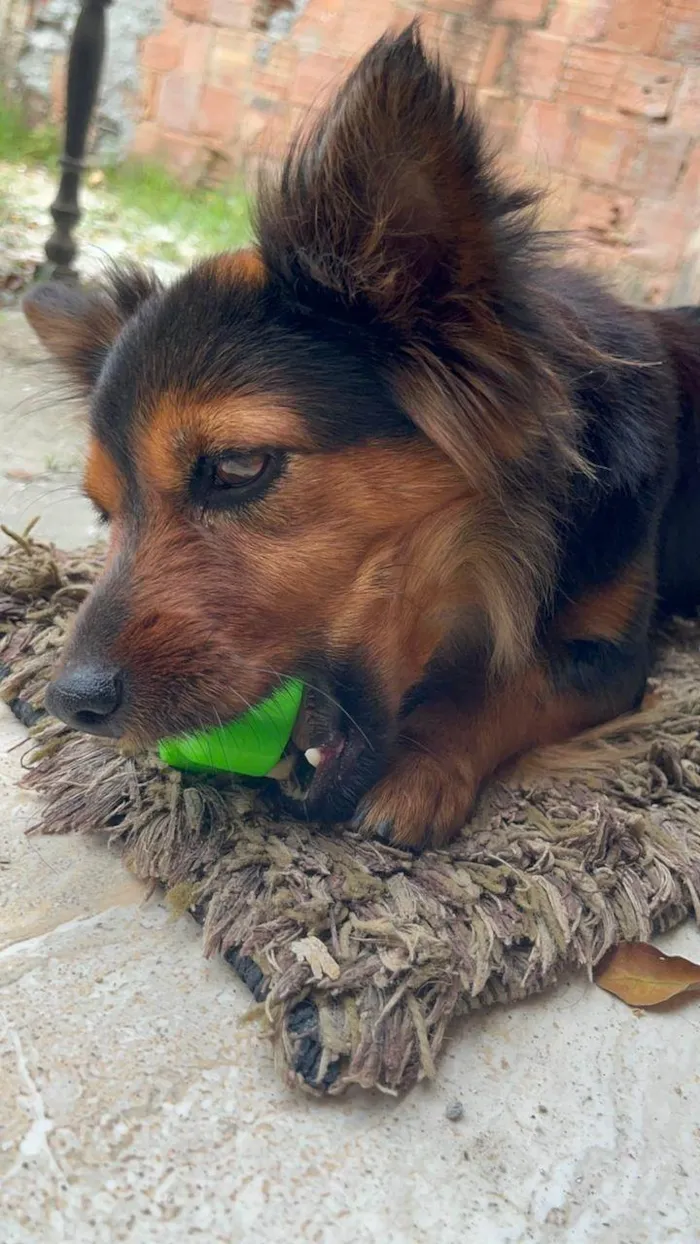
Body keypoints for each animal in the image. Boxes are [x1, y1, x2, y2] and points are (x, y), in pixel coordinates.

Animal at [21, 24, 700, 850]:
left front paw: (422, 765)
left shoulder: (617, 657)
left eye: (238, 466)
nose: (72, 703)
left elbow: (512, 679)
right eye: (103, 514)